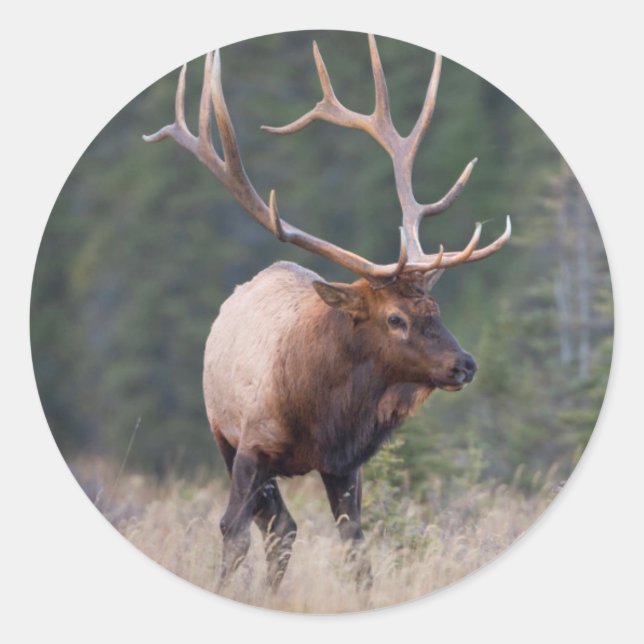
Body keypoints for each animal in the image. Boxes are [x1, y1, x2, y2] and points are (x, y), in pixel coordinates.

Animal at [143, 34, 511, 591]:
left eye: (435, 306)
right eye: (396, 318)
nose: (464, 364)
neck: (320, 412)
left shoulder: (345, 464)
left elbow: (356, 549)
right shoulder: (250, 445)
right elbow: (232, 532)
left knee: (285, 528)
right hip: (222, 434)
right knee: (275, 526)